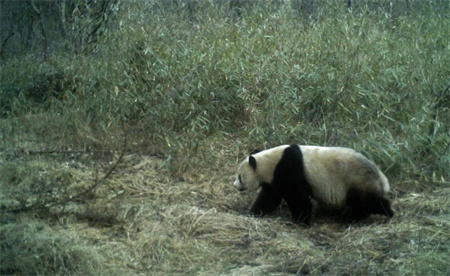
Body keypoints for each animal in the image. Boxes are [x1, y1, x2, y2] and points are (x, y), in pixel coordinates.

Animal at [234, 144, 396, 224]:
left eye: (240, 177)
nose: (235, 185)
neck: (270, 162)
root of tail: (383, 179)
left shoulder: (289, 168)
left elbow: (297, 197)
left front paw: (301, 220)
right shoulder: (275, 179)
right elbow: (269, 198)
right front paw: (253, 212)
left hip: (357, 181)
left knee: (367, 202)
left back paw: (384, 212)